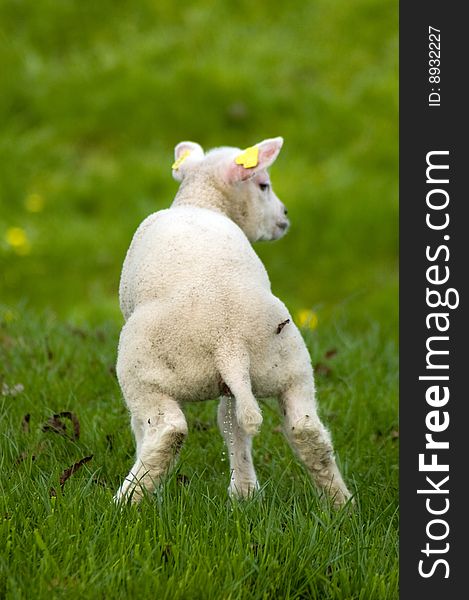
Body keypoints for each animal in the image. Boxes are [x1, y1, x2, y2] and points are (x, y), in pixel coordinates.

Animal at [114, 136, 352, 506]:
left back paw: (125, 501)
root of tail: (230, 342)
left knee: (167, 430)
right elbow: (231, 423)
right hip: (285, 362)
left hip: (144, 367)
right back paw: (336, 503)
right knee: (302, 429)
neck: (202, 200)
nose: (284, 217)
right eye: (263, 185)